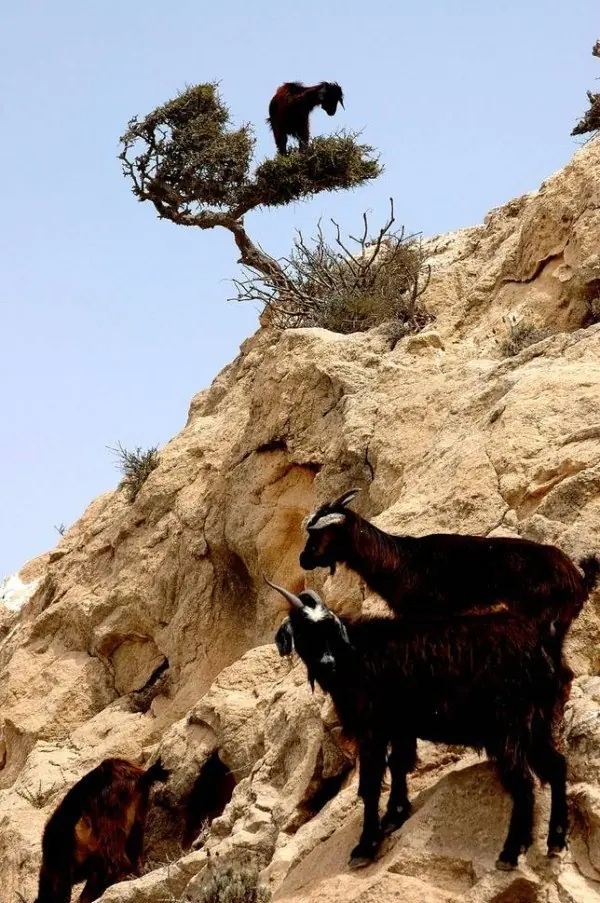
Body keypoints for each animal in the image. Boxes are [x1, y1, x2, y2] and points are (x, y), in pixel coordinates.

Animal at [265, 577, 569, 871]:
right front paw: (394, 816)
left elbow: (371, 784)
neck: (354, 653)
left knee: (523, 782)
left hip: (508, 726)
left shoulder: (373, 729)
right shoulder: (401, 727)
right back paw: (555, 839)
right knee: (556, 766)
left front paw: (365, 847)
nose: (327, 662)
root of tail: (542, 645)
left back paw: (510, 853)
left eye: (329, 629)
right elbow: (399, 764)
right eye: (302, 633)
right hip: (535, 723)